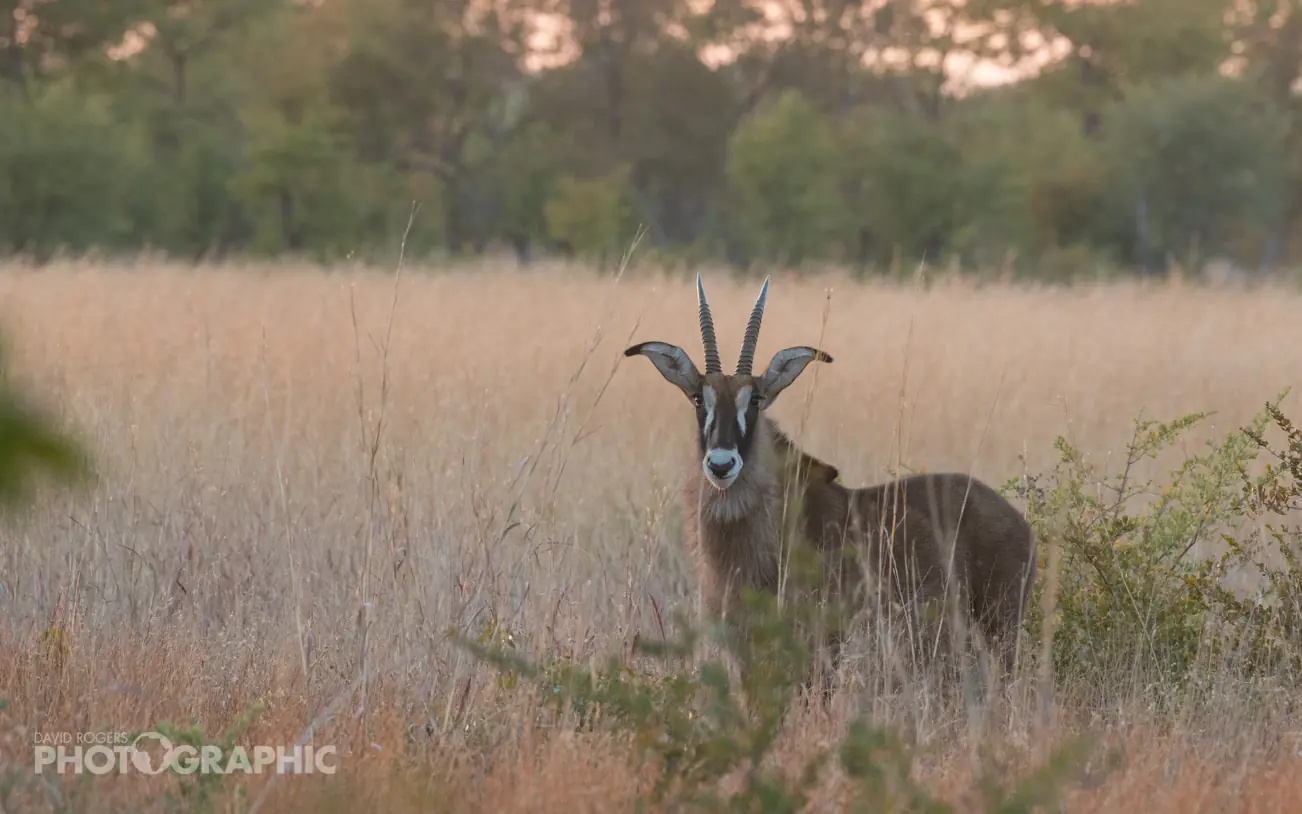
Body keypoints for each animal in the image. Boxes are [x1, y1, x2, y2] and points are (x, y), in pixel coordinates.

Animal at [623, 274, 1038, 699]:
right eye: (697, 398)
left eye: (754, 399)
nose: (721, 464)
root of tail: (1018, 521)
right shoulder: (742, 641)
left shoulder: (821, 639)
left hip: (999, 627)